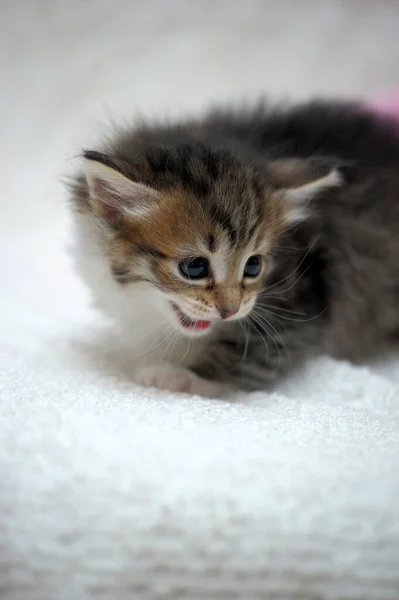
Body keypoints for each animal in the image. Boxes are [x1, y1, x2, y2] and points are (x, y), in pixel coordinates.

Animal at [69, 100, 399, 396]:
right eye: (194, 267)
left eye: (253, 265)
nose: (230, 311)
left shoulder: (303, 303)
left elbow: (251, 353)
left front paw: (182, 376)